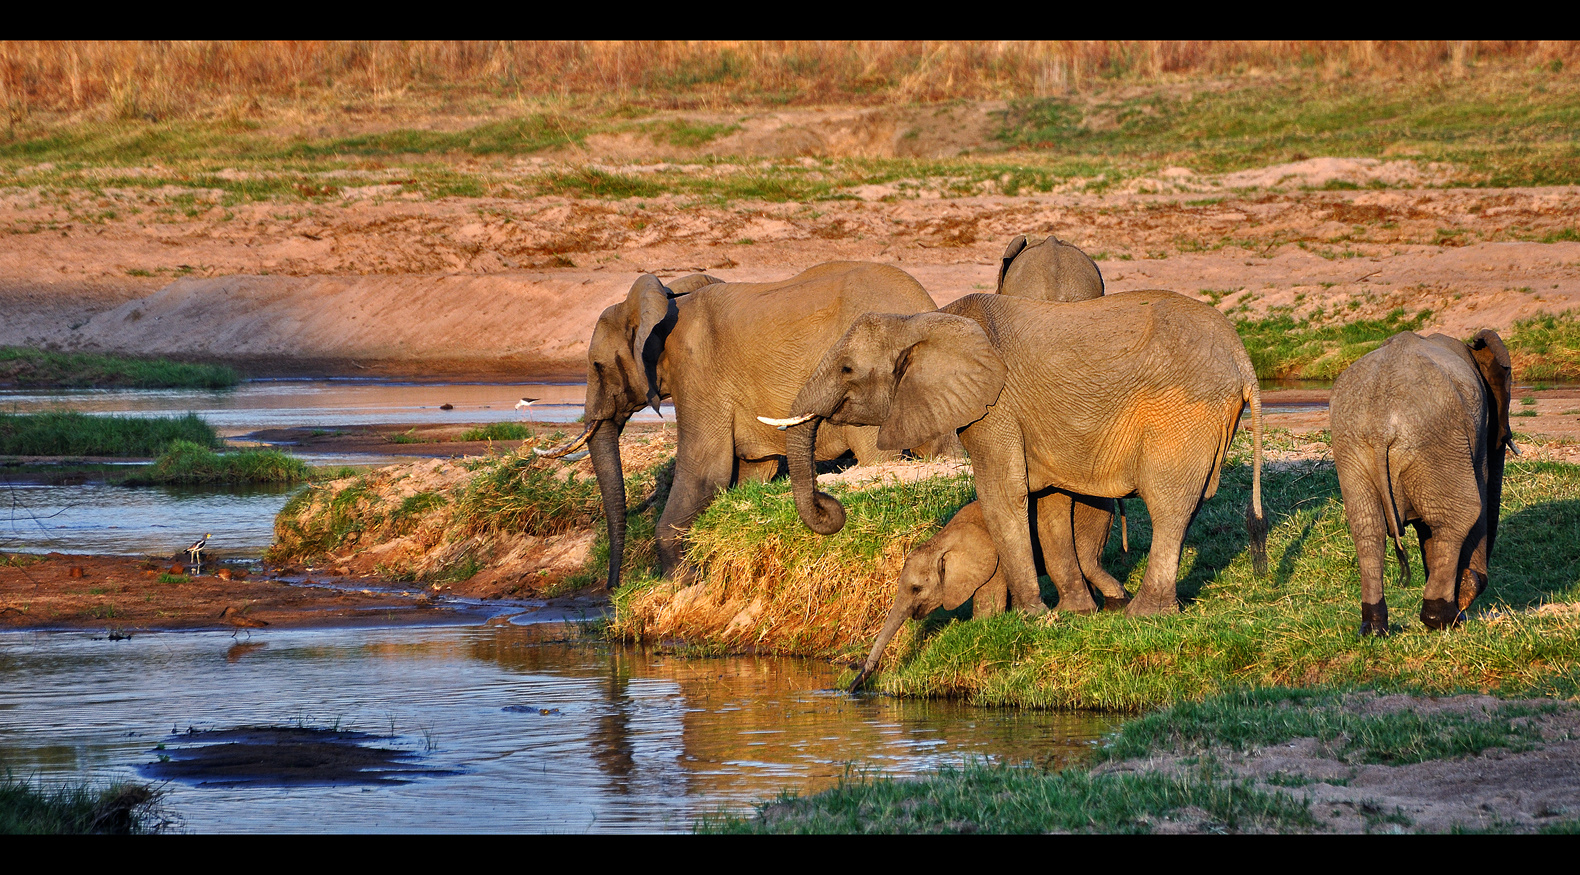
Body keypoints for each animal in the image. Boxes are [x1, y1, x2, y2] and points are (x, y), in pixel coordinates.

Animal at [543, 262, 935, 590]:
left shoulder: (698, 369)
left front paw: (682, 579)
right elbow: (752, 470)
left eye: (597, 366)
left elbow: (706, 470)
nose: (612, 588)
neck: (664, 306)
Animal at [764, 289, 1270, 615]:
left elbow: (1002, 496)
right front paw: (1073, 614)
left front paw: (1030, 617)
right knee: (1190, 502)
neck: (927, 320)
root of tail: (1242, 356)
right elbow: (1048, 503)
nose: (833, 507)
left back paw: (1143, 615)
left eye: (847, 369)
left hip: (1184, 413)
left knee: (1168, 504)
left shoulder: (995, 407)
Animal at [846, 492, 1131, 691]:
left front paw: (984, 624)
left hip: (1088, 516)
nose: (850, 688)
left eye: (916, 588)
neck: (943, 539)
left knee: (1086, 560)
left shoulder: (993, 559)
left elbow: (989, 606)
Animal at [1333, 326, 1516, 634]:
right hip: (1435, 440)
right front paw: (1466, 592)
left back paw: (1374, 628)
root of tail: (1381, 427)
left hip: (1352, 448)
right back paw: (1443, 619)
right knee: (1460, 516)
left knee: (1367, 529)